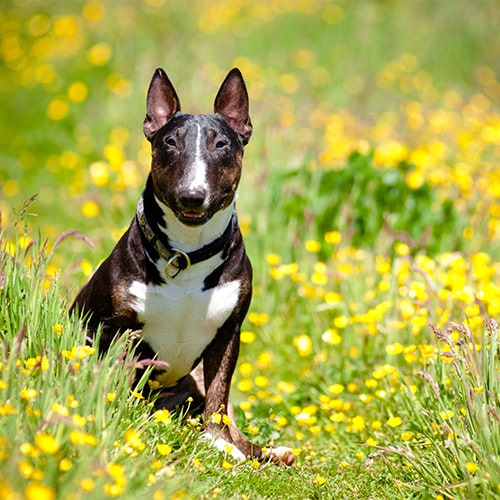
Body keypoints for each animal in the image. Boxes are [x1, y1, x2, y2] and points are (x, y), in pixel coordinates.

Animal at [72, 67, 294, 464]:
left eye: (221, 144)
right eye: (170, 142)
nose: (192, 196)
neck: (186, 254)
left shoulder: (228, 333)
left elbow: (219, 397)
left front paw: (218, 443)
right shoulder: (115, 329)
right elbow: (115, 378)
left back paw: (270, 451)